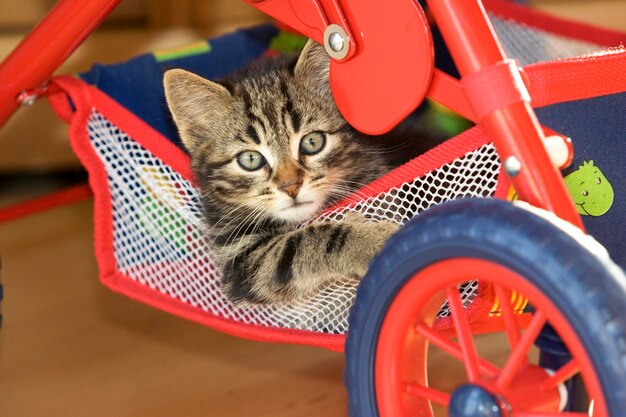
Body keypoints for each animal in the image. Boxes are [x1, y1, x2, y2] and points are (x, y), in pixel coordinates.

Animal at [162, 40, 400, 304]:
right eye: (251, 159)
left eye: (312, 142)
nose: (291, 187)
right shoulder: (239, 259)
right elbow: (300, 244)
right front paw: (374, 243)